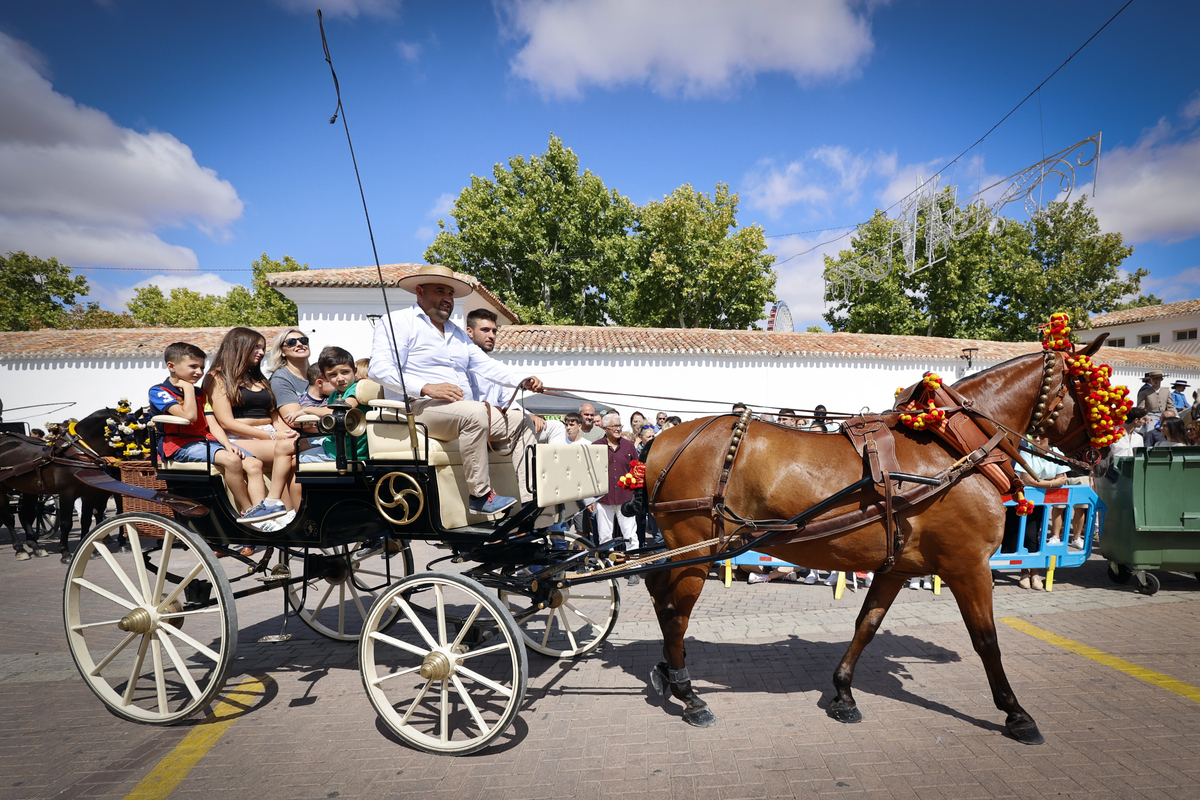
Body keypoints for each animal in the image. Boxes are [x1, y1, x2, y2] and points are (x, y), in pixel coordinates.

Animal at [648, 335, 1104, 743]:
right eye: (1091, 388)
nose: (1100, 454)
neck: (956, 449)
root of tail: (660, 440)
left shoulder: (896, 567)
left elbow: (866, 625)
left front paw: (843, 693)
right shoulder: (968, 565)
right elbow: (986, 639)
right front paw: (1015, 712)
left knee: (659, 595)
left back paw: (668, 673)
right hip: (697, 550)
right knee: (674, 615)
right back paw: (689, 695)